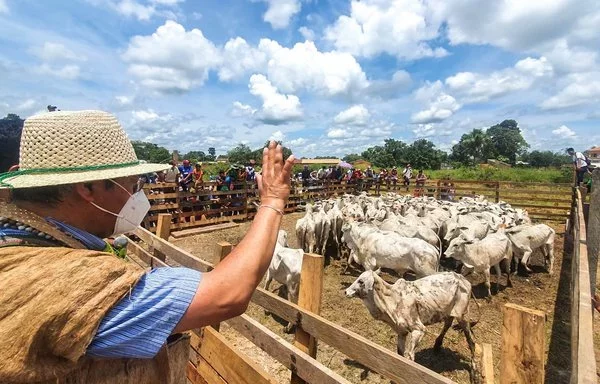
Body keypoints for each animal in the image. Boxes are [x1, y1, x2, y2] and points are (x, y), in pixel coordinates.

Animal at [344, 268, 476, 362]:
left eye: (361, 281)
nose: (346, 291)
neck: (393, 299)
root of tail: (462, 278)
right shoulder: (401, 331)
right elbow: (400, 354)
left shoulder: (419, 329)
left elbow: (409, 357)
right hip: (449, 312)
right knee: (448, 323)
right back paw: (437, 345)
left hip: (463, 315)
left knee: (471, 342)